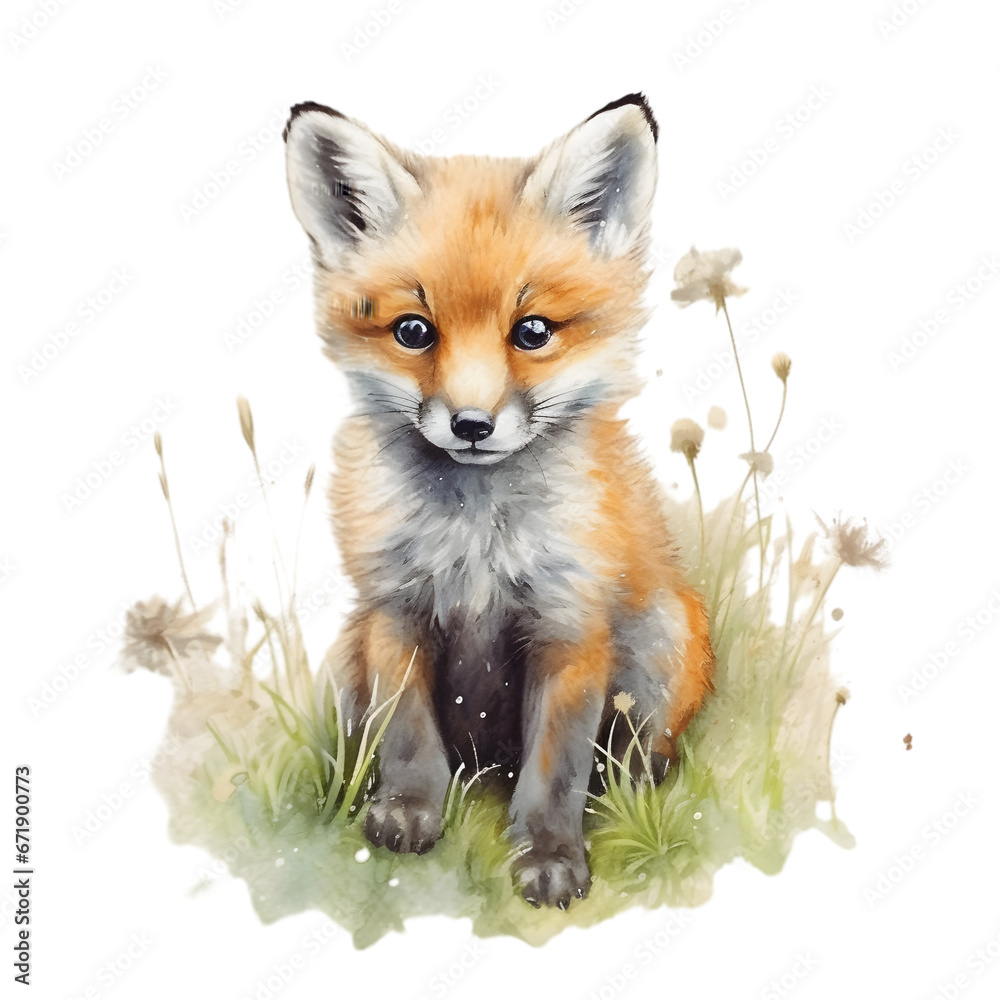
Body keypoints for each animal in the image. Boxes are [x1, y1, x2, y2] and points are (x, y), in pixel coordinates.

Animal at [282, 93, 715, 910]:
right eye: (412, 330)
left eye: (533, 331)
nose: (472, 425)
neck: (475, 544)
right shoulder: (395, 611)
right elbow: (409, 736)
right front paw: (410, 812)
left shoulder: (570, 625)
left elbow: (555, 766)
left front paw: (547, 855)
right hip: (348, 654)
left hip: (662, 641)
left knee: (635, 751)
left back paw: (630, 789)